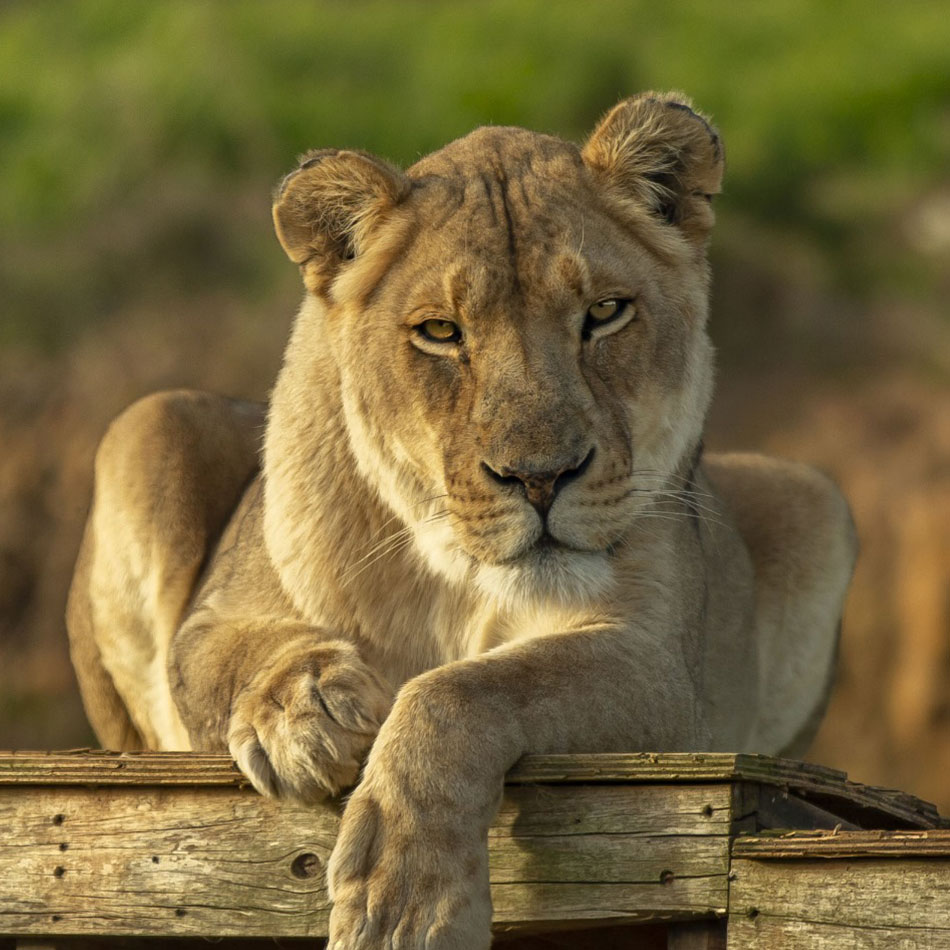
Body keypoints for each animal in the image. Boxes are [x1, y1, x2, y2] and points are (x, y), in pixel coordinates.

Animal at [67, 92, 856, 949]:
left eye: (605, 313)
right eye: (441, 332)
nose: (541, 476)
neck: (454, 578)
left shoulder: (662, 668)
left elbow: (463, 689)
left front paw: (406, 900)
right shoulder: (221, 607)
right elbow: (222, 655)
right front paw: (307, 710)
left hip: (815, 496)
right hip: (150, 420)